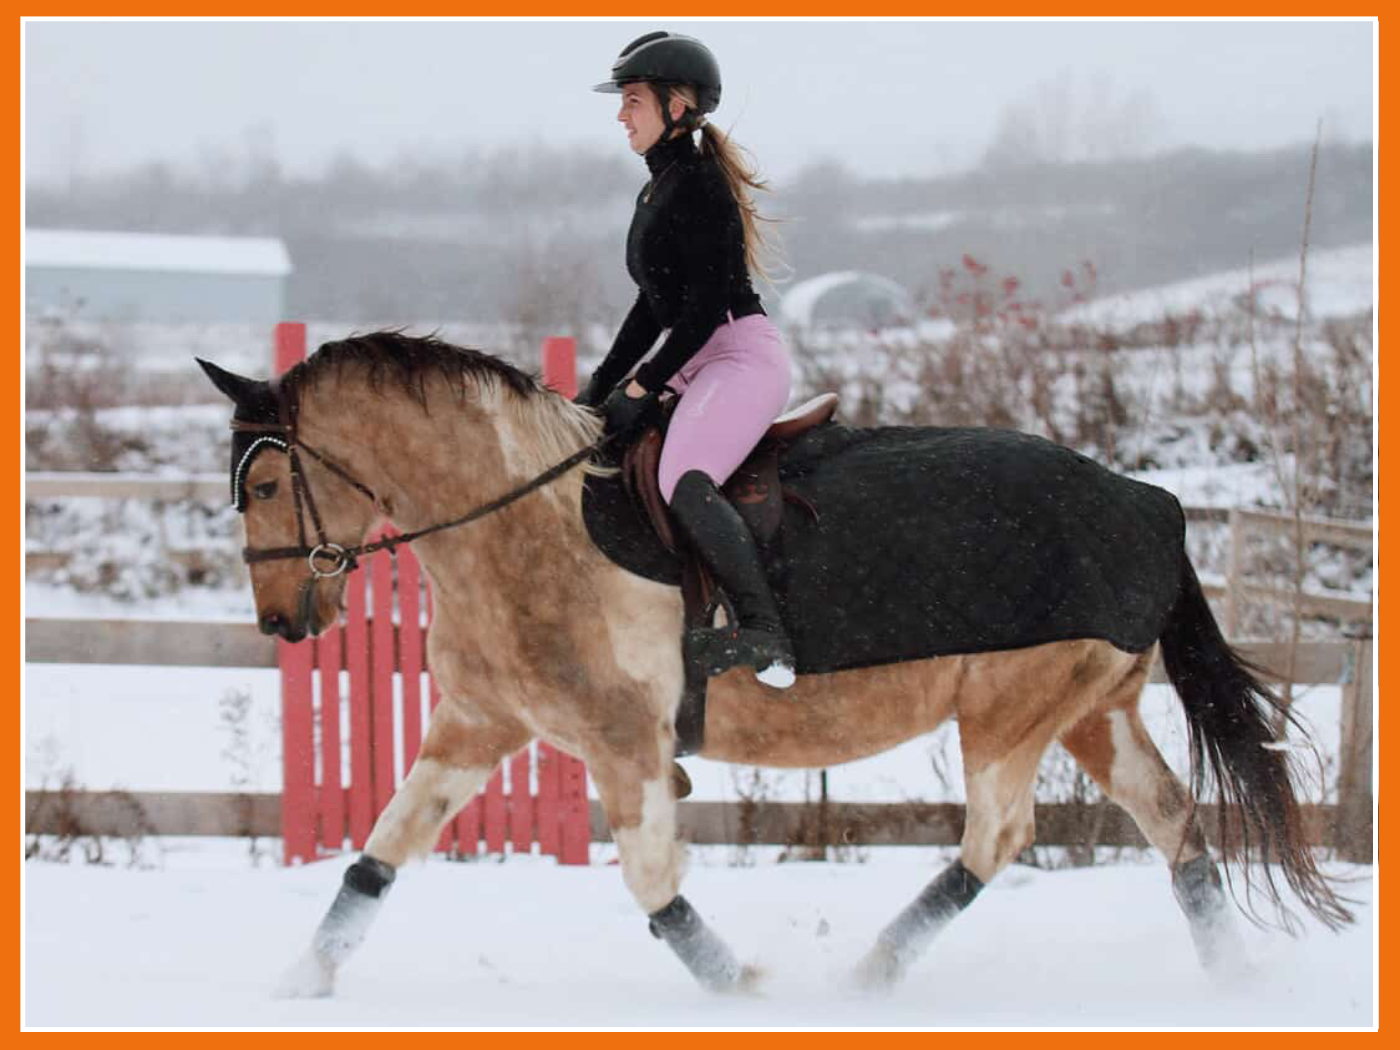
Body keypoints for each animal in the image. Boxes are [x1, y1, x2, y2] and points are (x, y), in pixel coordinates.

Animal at [195, 331, 1349, 998]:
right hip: (1093, 709)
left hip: (1013, 708)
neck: (518, 525)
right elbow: (377, 855)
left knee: (997, 838)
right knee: (1172, 822)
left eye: (264, 487)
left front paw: (741, 985)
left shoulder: (624, 740)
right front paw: (300, 982)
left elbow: (654, 887)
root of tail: (1146, 501)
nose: (279, 622)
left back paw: (869, 976)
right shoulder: (478, 725)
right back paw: (1233, 982)